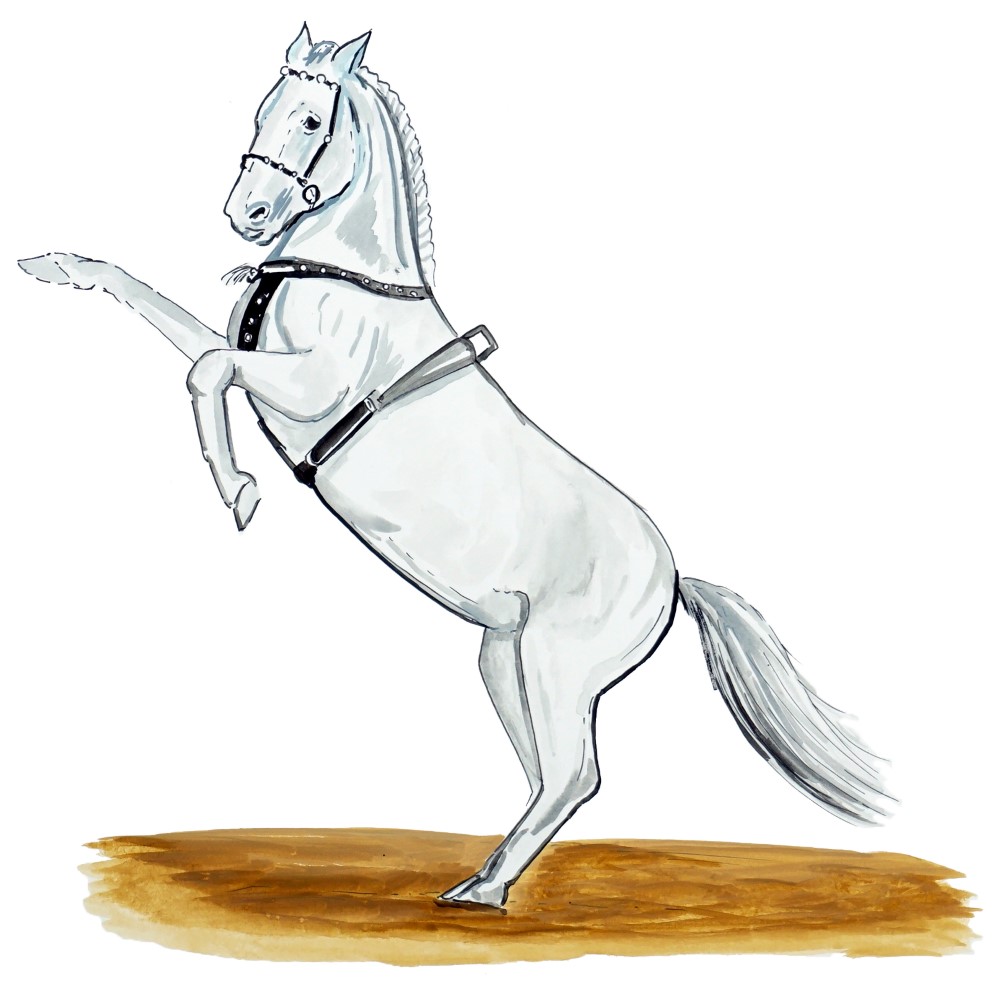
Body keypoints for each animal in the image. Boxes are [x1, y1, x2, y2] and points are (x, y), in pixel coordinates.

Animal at [18, 25, 893, 911]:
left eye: (310, 120)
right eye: (262, 108)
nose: (246, 214)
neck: (344, 280)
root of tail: (674, 578)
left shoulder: (308, 388)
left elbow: (205, 369)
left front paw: (239, 494)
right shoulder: (251, 360)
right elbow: (167, 320)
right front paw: (53, 264)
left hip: (557, 671)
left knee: (572, 773)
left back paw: (482, 891)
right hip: (505, 661)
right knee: (554, 777)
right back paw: (484, 879)